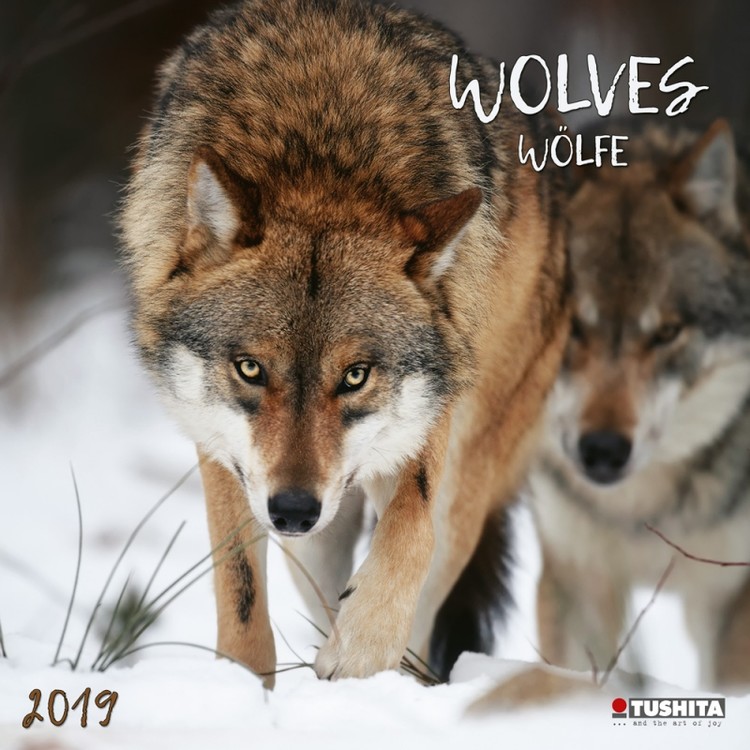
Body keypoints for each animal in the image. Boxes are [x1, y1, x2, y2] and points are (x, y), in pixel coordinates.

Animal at [120, 0, 568, 685]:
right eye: (250, 369)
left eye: (355, 376)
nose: (293, 509)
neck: (321, 161)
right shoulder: (222, 452)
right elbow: (240, 591)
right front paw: (241, 689)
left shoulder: (425, 423)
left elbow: (411, 531)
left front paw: (360, 651)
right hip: (316, 534)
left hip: (463, 468)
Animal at [493, 119, 750, 704]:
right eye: (574, 327)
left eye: (667, 332)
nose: (603, 450)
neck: (641, 512)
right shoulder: (579, 578)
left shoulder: (729, 600)